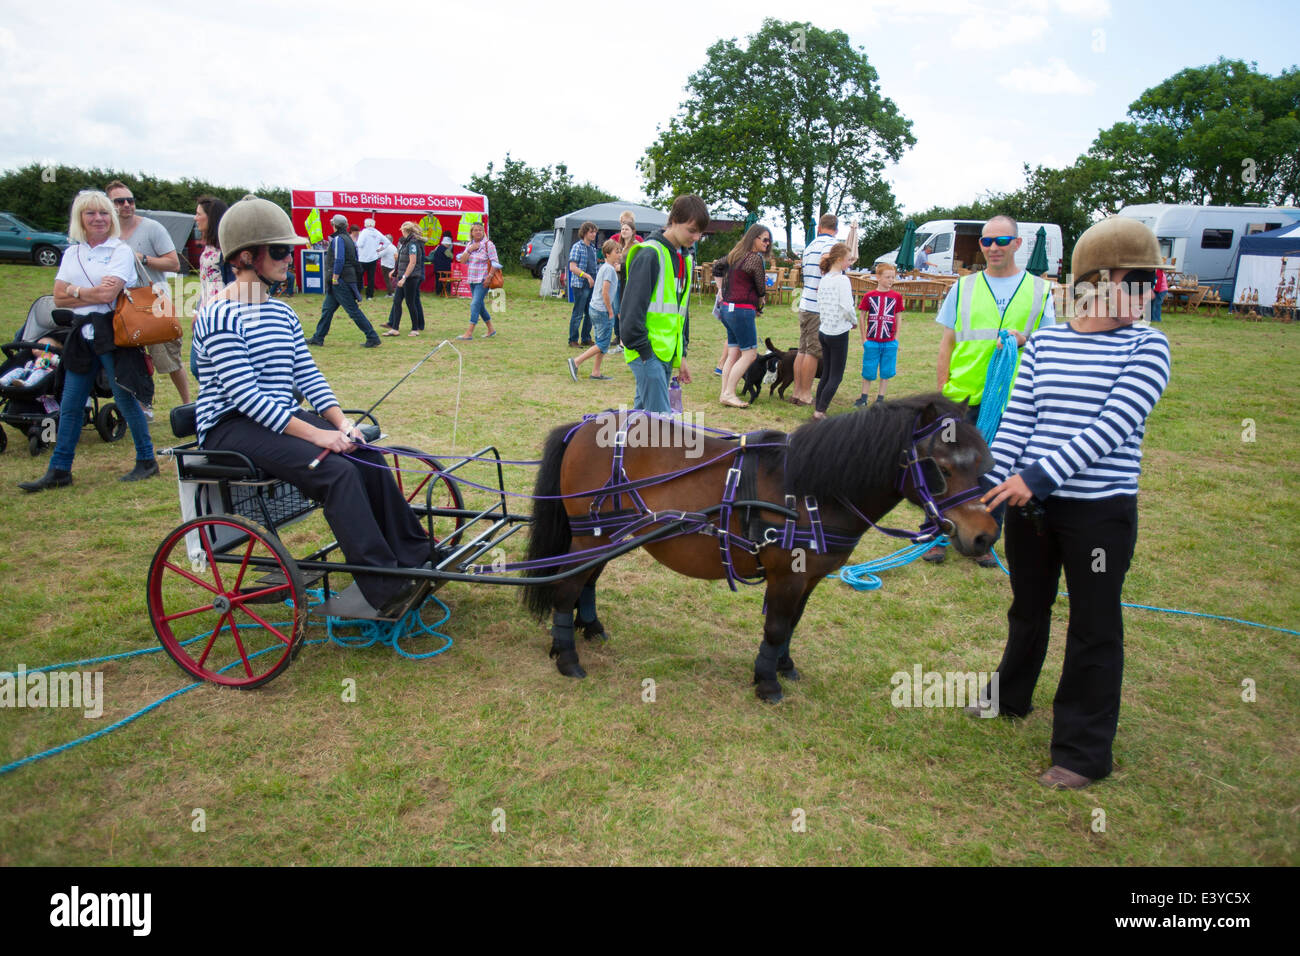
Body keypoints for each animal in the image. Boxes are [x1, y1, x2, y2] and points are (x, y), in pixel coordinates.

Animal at [517, 392, 993, 697]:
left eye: (982, 462)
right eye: (942, 468)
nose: (985, 535)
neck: (811, 491)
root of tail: (581, 427)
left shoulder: (809, 577)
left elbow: (793, 623)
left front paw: (784, 665)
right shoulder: (786, 575)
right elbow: (778, 625)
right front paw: (767, 681)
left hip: (610, 534)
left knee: (587, 580)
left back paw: (590, 626)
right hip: (589, 534)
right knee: (566, 587)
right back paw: (566, 656)